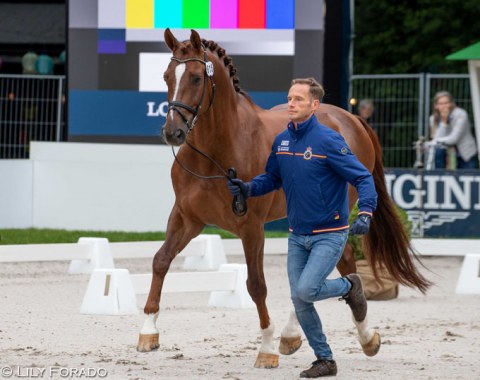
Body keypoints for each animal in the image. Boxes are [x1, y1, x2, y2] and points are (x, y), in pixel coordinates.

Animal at [136, 29, 432, 368]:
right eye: (166, 76)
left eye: (197, 78)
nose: (172, 132)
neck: (214, 153)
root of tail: (352, 119)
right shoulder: (187, 218)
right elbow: (161, 261)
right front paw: (148, 333)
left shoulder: (251, 227)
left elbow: (256, 285)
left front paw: (266, 348)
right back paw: (297, 335)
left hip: (335, 214)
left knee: (337, 265)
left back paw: (355, 336)